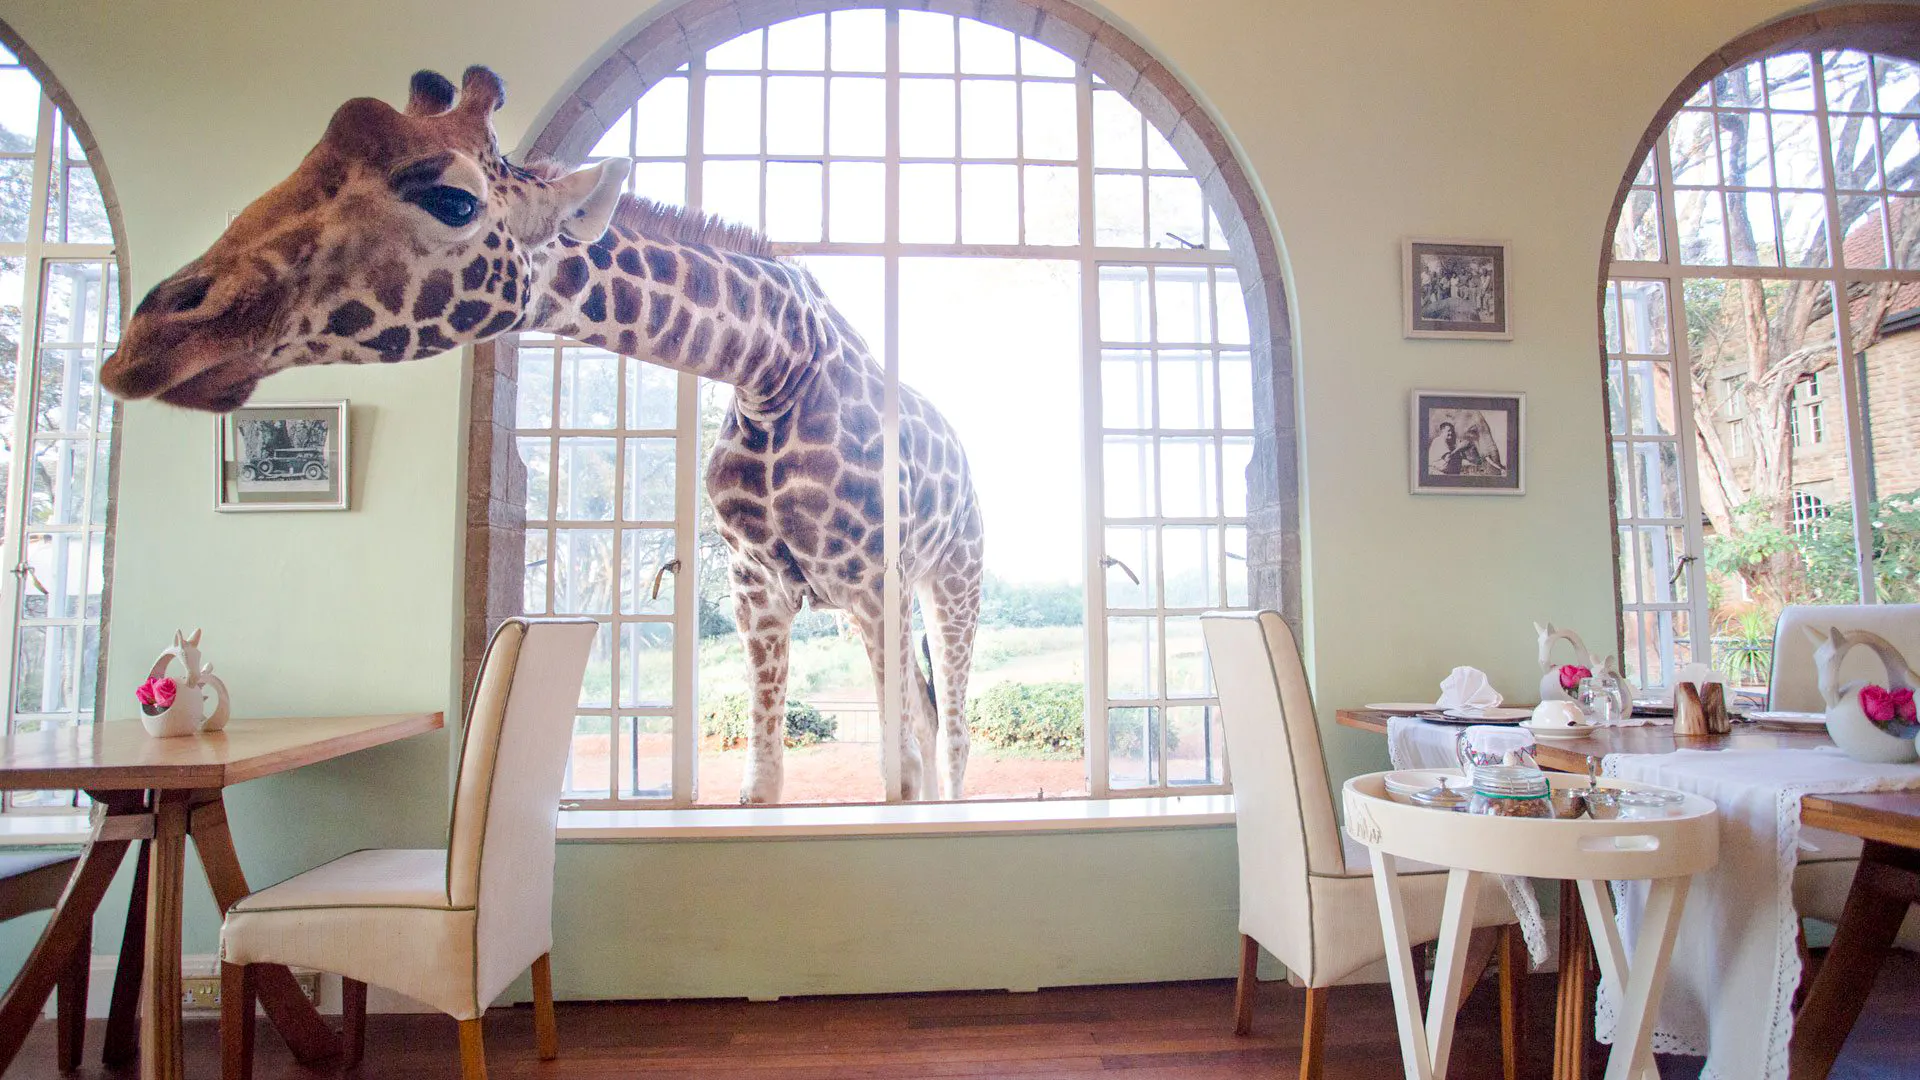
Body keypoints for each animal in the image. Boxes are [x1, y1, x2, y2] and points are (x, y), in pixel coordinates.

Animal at [99, 67, 984, 803]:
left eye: (453, 200)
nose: (151, 339)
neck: (775, 369)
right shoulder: (758, 592)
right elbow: (762, 786)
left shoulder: (872, 582)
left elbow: (899, 776)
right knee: (929, 718)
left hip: (951, 584)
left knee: (950, 729)